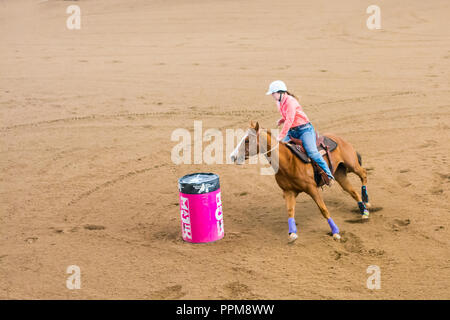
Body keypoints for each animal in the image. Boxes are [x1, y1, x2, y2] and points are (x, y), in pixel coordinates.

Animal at [230, 121, 370, 244]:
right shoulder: (289, 191)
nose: (233, 156)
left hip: (352, 165)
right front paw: (292, 234)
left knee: (363, 174)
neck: (288, 161)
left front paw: (336, 232)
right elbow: (290, 211)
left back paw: (367, 201)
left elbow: (323, 209)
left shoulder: (312, 189)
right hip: (340, 175)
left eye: (247, 140)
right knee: (353, 192)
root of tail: (339, 139)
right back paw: (364, 212)